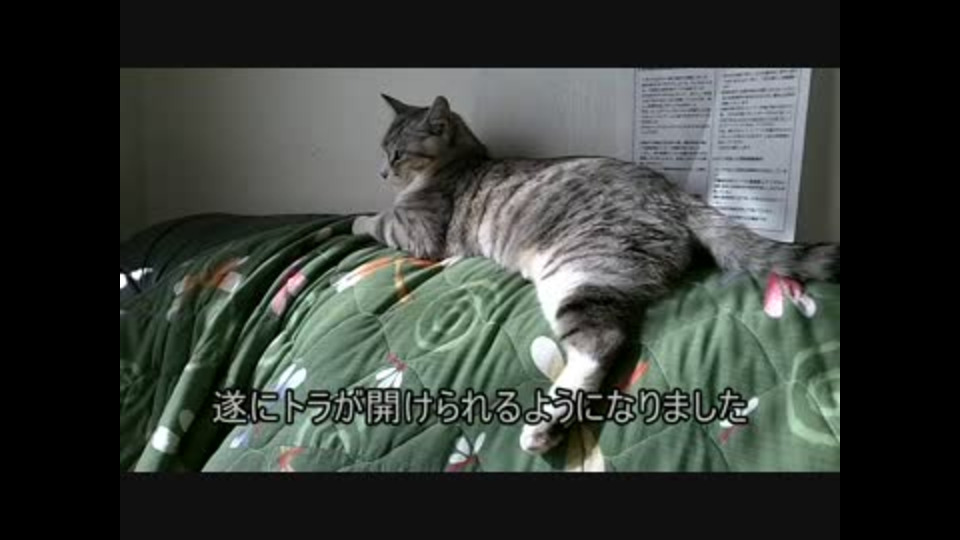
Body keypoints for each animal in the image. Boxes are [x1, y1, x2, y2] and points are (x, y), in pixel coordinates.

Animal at [352, 94, 840, 455]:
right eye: (382, 151)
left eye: (397, 153)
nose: (381, 170)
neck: (460, 161)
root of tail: (676, 194)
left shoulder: (417, 232)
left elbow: (378, 220)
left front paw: (356, 219)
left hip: (572, 271)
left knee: (600, 343)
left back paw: (544, 428)